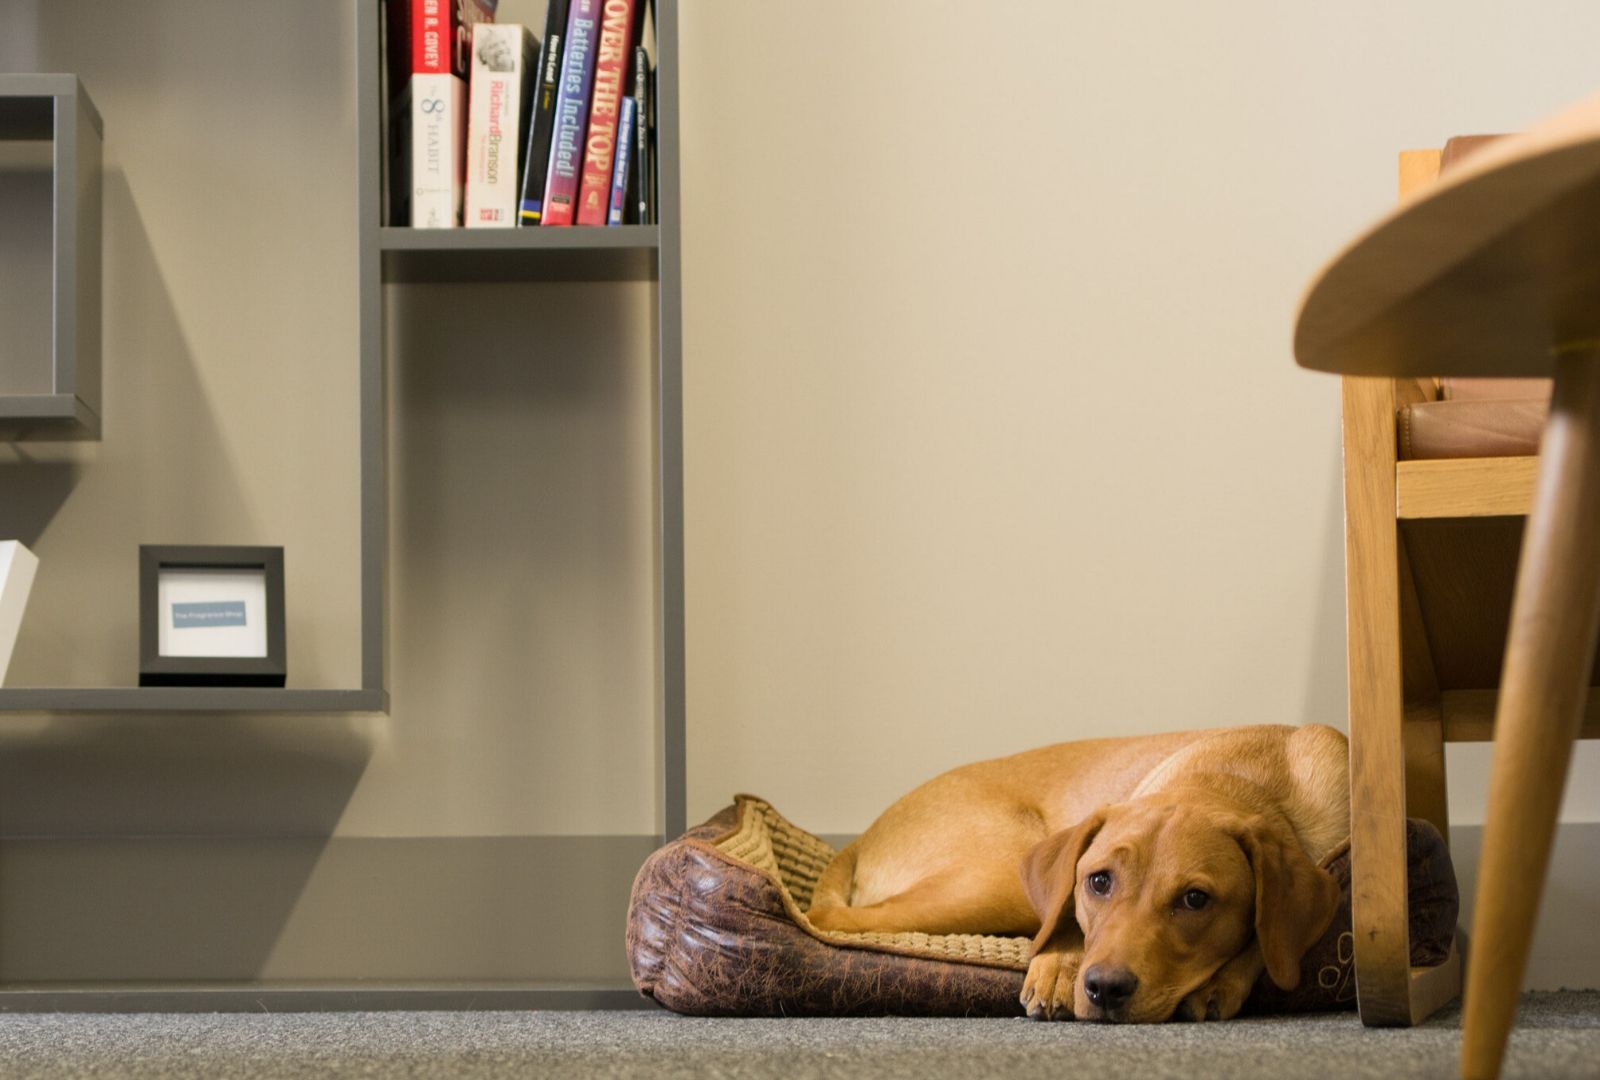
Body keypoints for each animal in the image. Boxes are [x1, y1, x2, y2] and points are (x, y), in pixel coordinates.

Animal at [806, 726, 1344, 1024]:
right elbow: (1064, 921)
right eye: (1099, 882)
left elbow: (1268, 941)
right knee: (827, 918)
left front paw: (1222, 982)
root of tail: (862, 835)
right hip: (996, 881)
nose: (1105, 988)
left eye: (1195, 900)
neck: (1245, 779)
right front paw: (1060, 965)